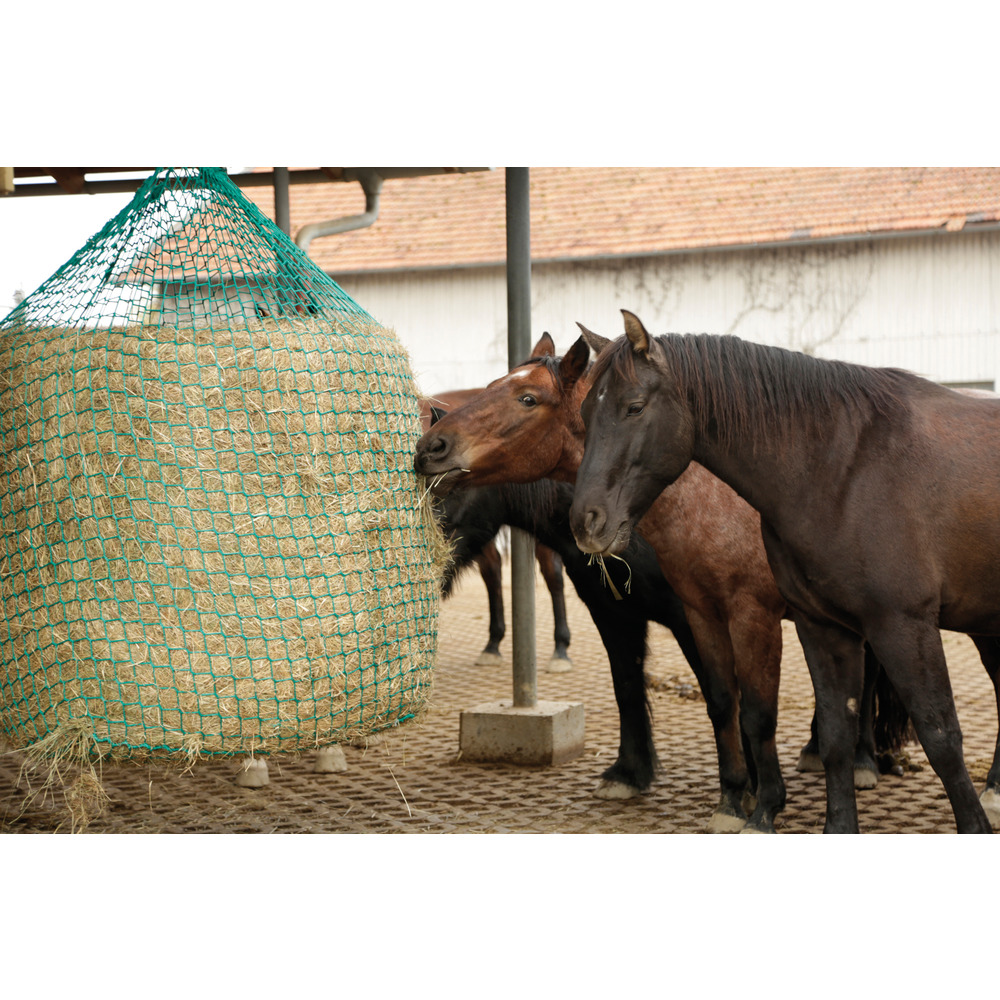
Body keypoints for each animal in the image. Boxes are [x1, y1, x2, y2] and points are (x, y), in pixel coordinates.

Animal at [569, 309, 1000, 834]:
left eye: (633, 408)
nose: (585, 522)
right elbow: (834, 736)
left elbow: (940, 737)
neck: (844, 470)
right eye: (584, 414)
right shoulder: (823, 627)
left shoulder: (903, 626)